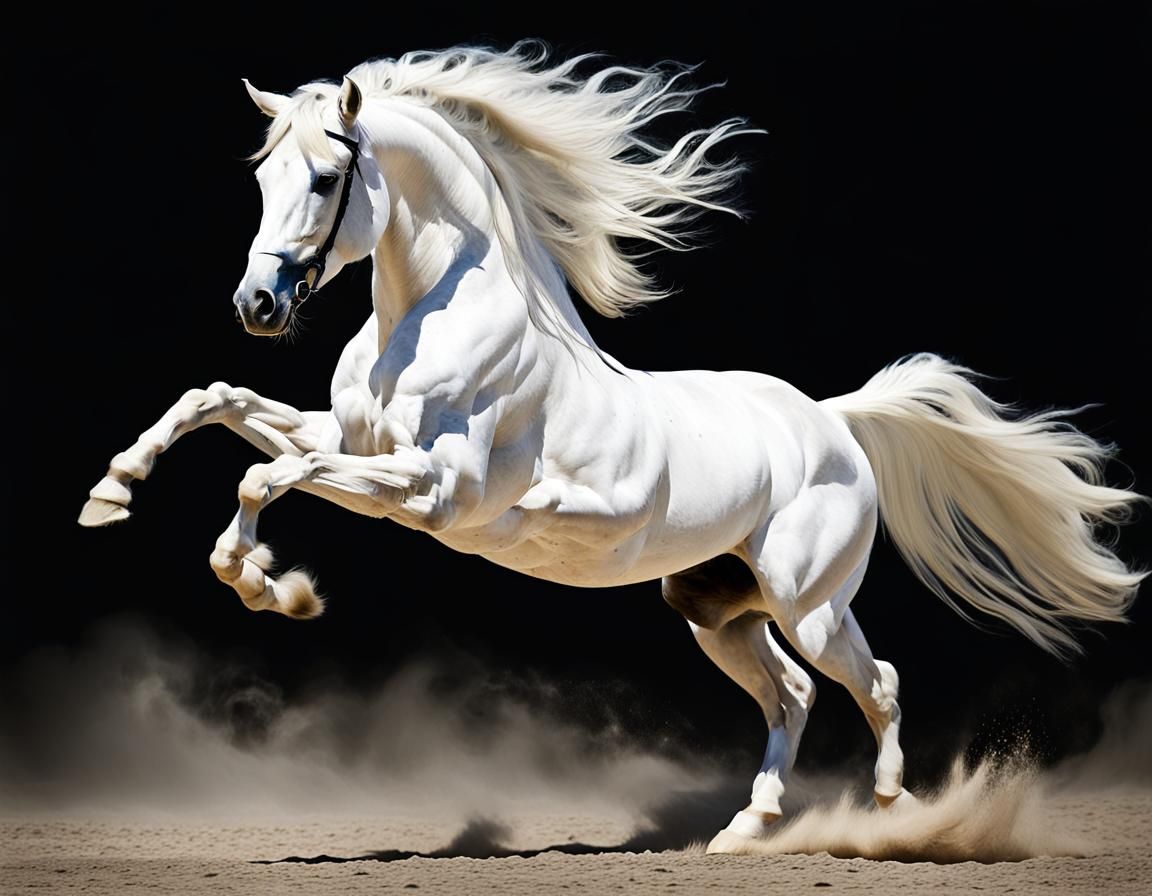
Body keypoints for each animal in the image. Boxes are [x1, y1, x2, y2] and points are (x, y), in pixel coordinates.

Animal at [79, 44, 1144, 852]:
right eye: (262, 176)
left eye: (328, 177)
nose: (257, 305)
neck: (428, 314)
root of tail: (833, 420)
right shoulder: (353, 441)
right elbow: (219, 404)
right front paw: (113, 493)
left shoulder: (434, 491)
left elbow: (271, 471)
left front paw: (268, 584)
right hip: (717, 611)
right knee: (793, 695)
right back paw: (745, 831)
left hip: (810, 600)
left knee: (872, 683)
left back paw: (891, 814)